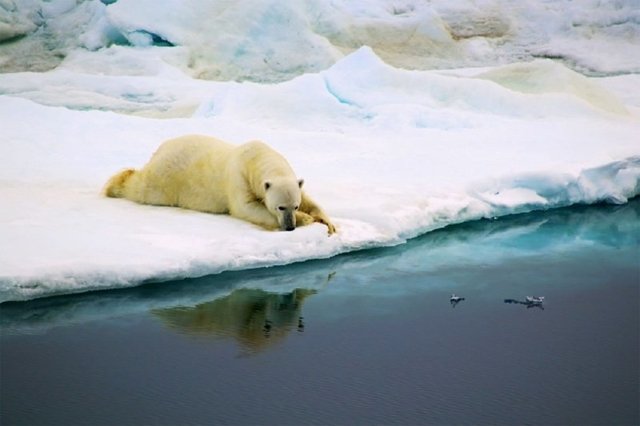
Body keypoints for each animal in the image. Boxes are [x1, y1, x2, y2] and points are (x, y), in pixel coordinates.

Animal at [102, 135, 338, 235]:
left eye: (294, 205)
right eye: (280, 207)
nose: (289, 227)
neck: (256, 158)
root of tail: (160, 149)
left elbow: (309, 198)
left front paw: (328, 223)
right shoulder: (238, 178)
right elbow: (246, 208)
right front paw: (307, 219)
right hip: (166, 178)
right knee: (141, 187)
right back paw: (114, 185)